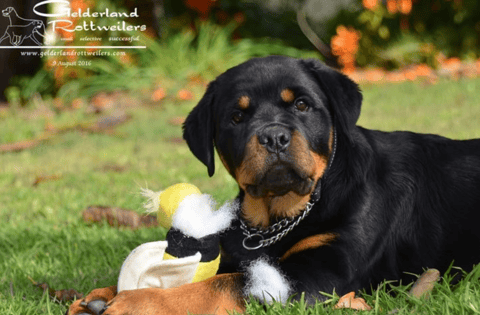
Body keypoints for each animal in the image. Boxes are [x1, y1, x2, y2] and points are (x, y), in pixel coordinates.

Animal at [68, 56, 480, 315]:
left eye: (301, 105)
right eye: (236, 117)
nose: (274, 137)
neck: (276, 216)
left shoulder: (321, 273)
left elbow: (222, 284)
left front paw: (140, 303)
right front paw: (99, 296)